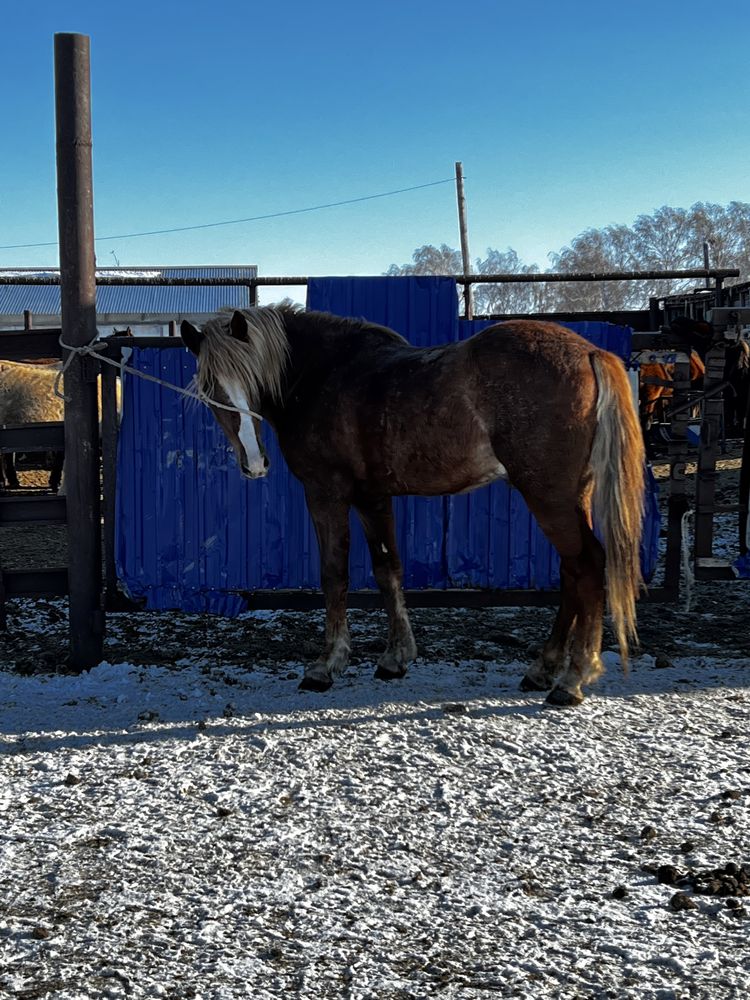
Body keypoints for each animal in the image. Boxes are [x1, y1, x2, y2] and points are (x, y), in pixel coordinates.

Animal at [181, 308, 648, 708]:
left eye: (248, 380)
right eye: (210, 389)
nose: (254, 463)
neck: (324, 375)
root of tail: (589, 353)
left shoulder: (326, 493)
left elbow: (334, 575)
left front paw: (327, 665)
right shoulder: (372, 497)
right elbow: (389, 570)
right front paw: (396, 658)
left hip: (549, 497)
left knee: (588, 566)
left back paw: (573, 678)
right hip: (570, 496)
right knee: (572, 572)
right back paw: (543, 669)